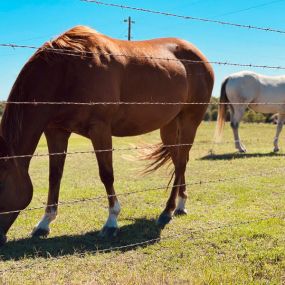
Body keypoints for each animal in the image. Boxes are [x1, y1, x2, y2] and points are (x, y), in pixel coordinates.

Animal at [0, 25, 213, 245]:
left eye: (1, 183)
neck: (67, 70)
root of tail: (200, 58)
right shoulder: (55, 131)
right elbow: (55, 176)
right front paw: (44, 224)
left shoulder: (99, 129)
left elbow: (106, 174)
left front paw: (111, 222)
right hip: (169, 127)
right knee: (180, 160)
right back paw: (180, 204)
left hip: (189, 121)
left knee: (180, 164)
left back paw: (167, 211)